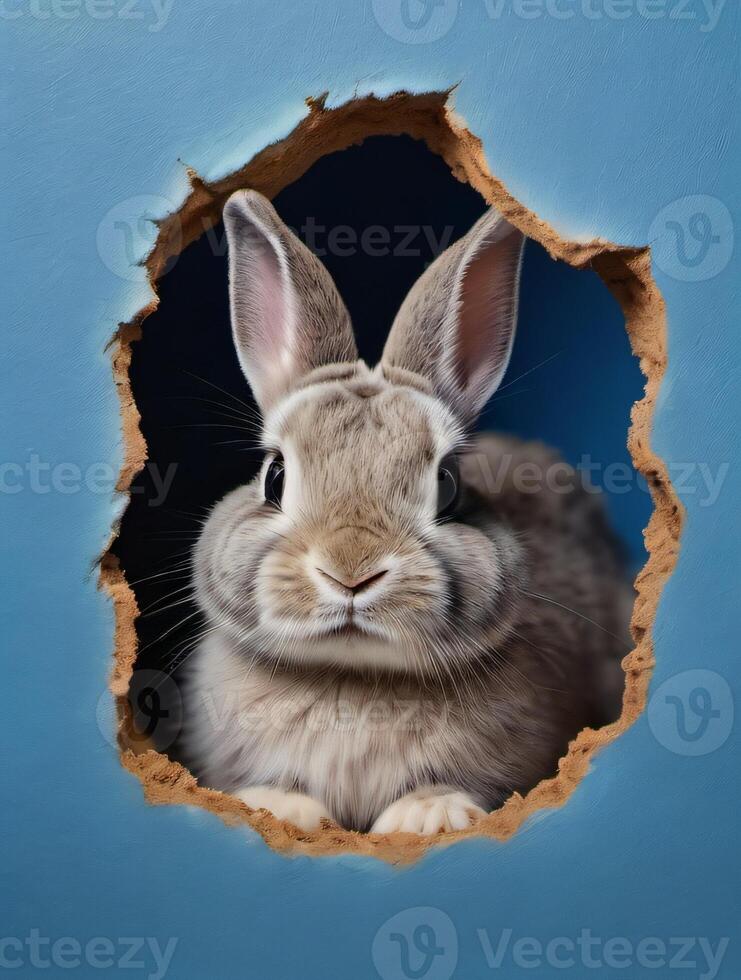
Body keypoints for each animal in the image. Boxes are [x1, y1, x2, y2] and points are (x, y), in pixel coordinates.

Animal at [181, 189, 632, 836]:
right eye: (275, 476)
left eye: (447, 485)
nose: (351, 572)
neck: (353, 673)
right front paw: (282, 806)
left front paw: (428, 815)